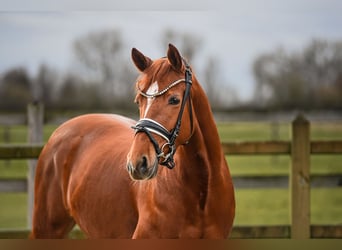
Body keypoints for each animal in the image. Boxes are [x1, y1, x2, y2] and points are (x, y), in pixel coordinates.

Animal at [30, 44, 235, 238]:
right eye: (138, 101)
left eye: (174, 100)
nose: (138, 163)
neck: (202, 193)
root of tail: (61, 130)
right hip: (46, 228)